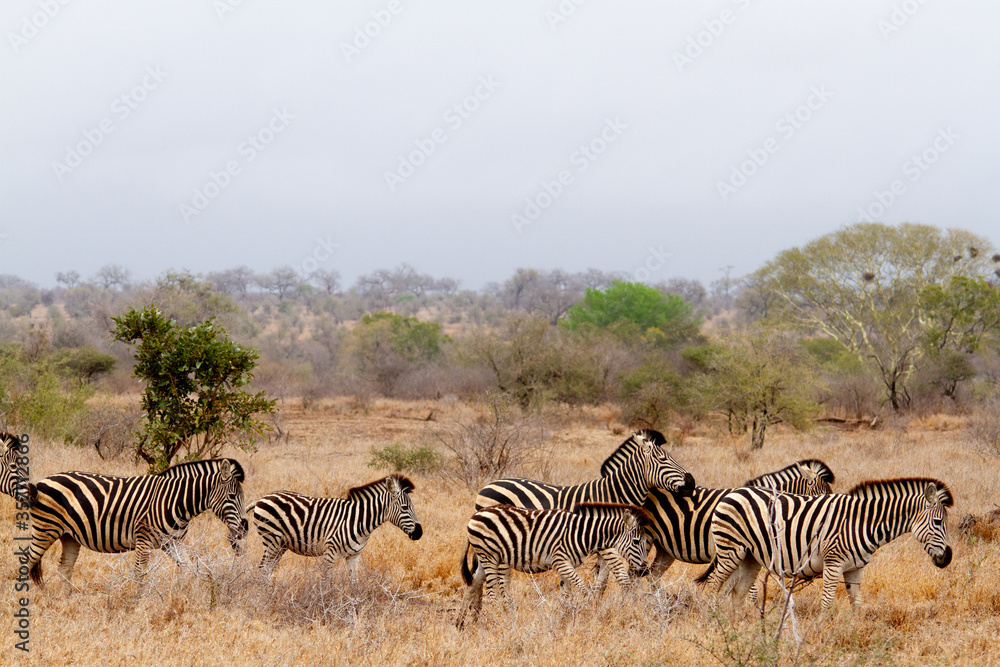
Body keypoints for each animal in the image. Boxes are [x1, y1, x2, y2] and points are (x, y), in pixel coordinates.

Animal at [26, 458, 248, 594]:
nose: (245, 528)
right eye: (231, 497)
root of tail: (42, 481)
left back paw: (69, 599)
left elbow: (189, 569)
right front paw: (137, 604)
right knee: (27, 562)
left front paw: (185, 595)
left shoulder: (172, 542)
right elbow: (140, 573)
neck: (175, 501)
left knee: (64, 569)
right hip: (45, 530)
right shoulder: (143, 539)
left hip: (69, 536)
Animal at [248, 473, 423, 577]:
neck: (359, 520)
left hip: (281, 545)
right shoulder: (329, 554)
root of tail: (263, 498)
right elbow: (326, 583)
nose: (419, 533)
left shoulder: (354, 557)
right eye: (405, 508)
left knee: (268, 570)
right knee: (263, 569)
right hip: (271, 540)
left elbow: (354, 584)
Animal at [457, 502, 652, 627]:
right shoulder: (560, 561)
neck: (582, 534)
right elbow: (583, 589)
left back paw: (460, 622)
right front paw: (588, 613)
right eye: (636, 542)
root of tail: (476, 514)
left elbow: (566, 595)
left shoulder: (567, 564)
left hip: (487, 557)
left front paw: (565, 620)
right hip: (489, 556)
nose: (644, 570)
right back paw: (497, 620)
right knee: (491, 591)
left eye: (644, 542)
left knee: (473, 584)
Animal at [695, 477, 953, 610]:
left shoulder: (855, 569)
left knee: (737, 593)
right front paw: (821, 632)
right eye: (938, 522)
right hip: (731, 551)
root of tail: (732, 492)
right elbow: (827, 603)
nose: (948, 558)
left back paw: (738, 629)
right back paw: (712, 619)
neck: (862, 523)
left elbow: (857, 605)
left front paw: (857, 634)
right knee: (713, 585)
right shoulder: (833, 563)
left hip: (749, 557)